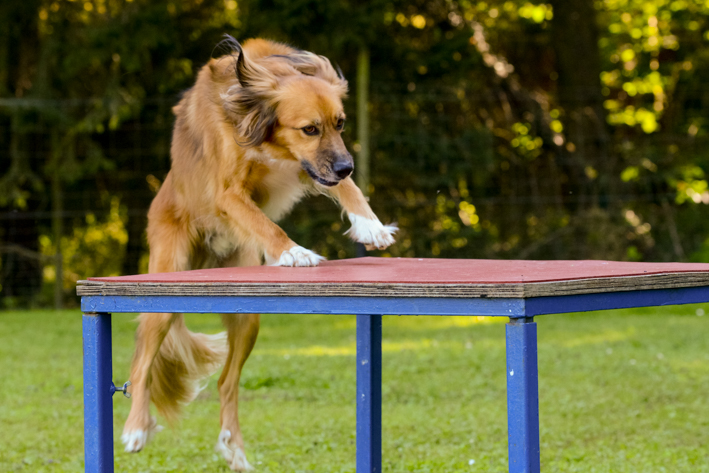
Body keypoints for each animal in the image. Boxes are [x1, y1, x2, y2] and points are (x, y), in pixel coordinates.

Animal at [122, 37, 398, 472]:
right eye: (309, 128)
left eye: (340, 124)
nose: (347, 165)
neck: (253, 106)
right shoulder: (228, 192)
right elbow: (264, 222)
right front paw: (294, 252)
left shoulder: (309, 166)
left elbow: (347, 189)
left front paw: (370, 225)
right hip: (162, 299)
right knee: (141, 366)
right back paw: (135, 429)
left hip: (247, 314)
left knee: (226, 382)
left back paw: (233, 447)